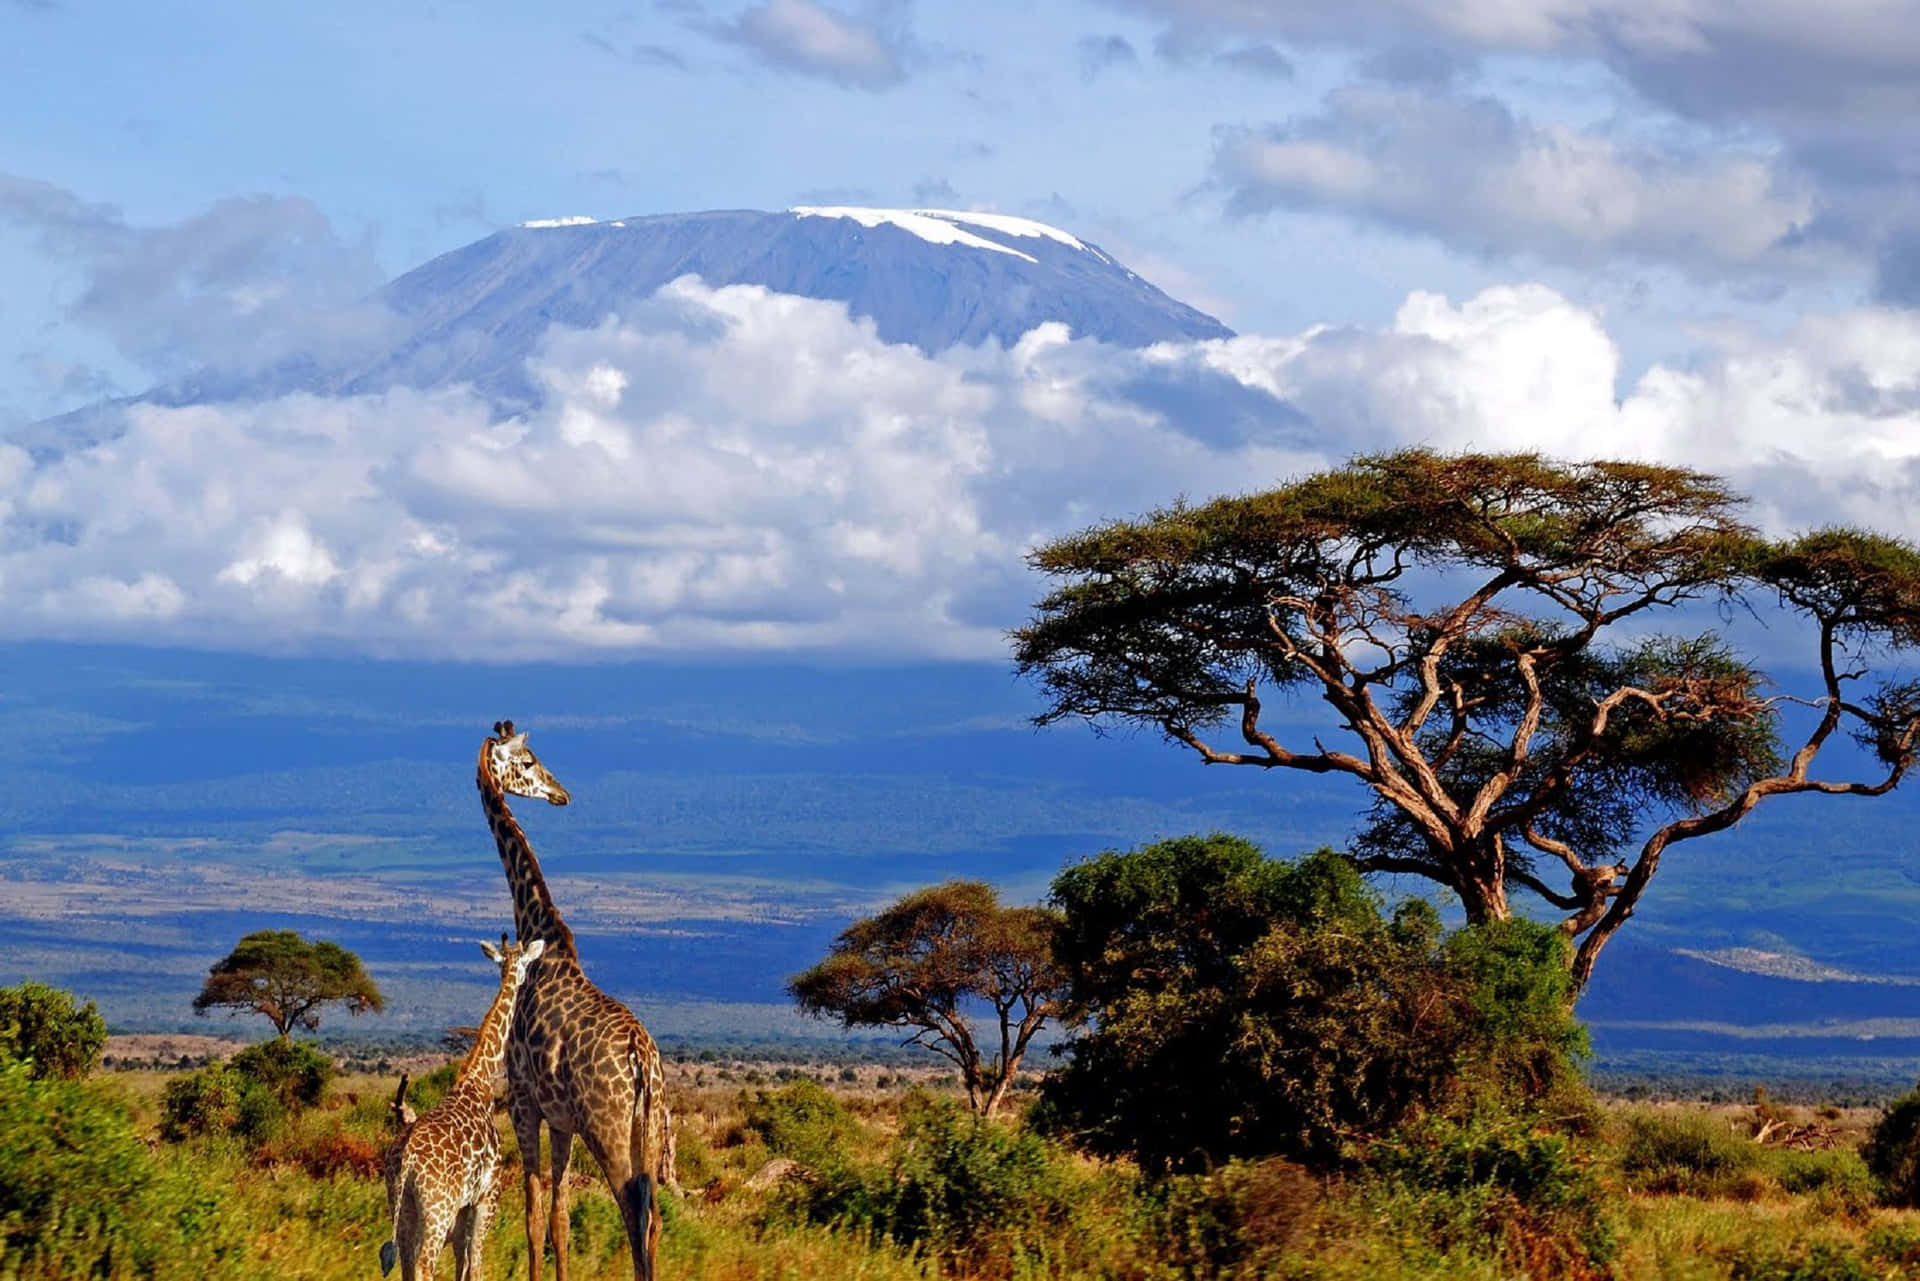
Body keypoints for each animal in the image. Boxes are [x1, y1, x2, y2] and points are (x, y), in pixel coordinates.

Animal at [381, 933, 547, 1281]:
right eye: (525, 964)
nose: (522, 981)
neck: (478, 1080)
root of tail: (406, 1159)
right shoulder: (486, 1196)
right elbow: (476, 1262)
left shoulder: (461, 1207)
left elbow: (462, 1263)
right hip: (437, 1208)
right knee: (423, 1265)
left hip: (401, 1204)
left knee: (406, 1264)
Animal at [479, 720, 671, 1281]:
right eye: (527, 763)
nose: (560, 793)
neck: (540, 931)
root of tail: (641, 1058)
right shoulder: (561, 1120)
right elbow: (559, 1219)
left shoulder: (523, 1102)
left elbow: (531, 1215)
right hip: (649, 1127)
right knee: (654, 1219)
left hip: (608, 1130)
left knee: (633, 1211)